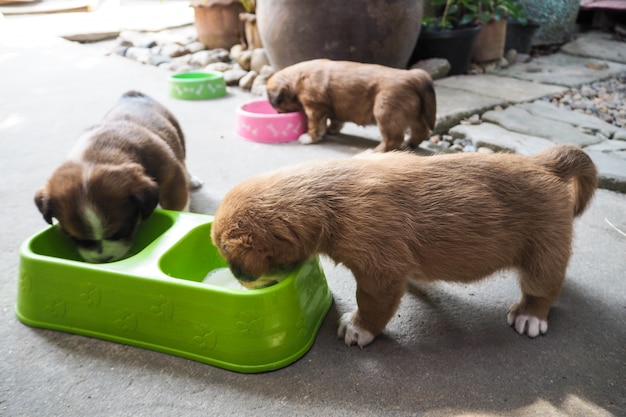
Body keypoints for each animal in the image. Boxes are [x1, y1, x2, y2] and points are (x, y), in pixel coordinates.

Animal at [34, 90, 200, 262]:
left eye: (121, 232)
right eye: (75, 238)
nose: (103, 259)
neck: (97, 154)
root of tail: (133, 95)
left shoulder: (172, 177)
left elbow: (177, 204)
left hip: (178, 135)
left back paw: (192, 180)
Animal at [212, 145, 596, 346]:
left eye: (229, 256)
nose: (241, 280)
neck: (326, 195)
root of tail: (545, 162)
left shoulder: (378, 272)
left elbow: (370, 304)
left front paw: (358, 328)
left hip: (542, 253)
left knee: (542, 289)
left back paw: (530, 316)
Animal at [264, 57, 434, 150]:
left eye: (279, 107)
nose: (278, 113)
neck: (298, 78)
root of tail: (413, 76)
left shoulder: (314, 107)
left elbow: (314, 125)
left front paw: (309, 138)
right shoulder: (331, 107)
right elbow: (334, 120)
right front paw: (331, 129)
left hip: (386, 111)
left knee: (393, 139)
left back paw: (374, 151)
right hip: (414, 114)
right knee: (421, 131)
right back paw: (409, 144)